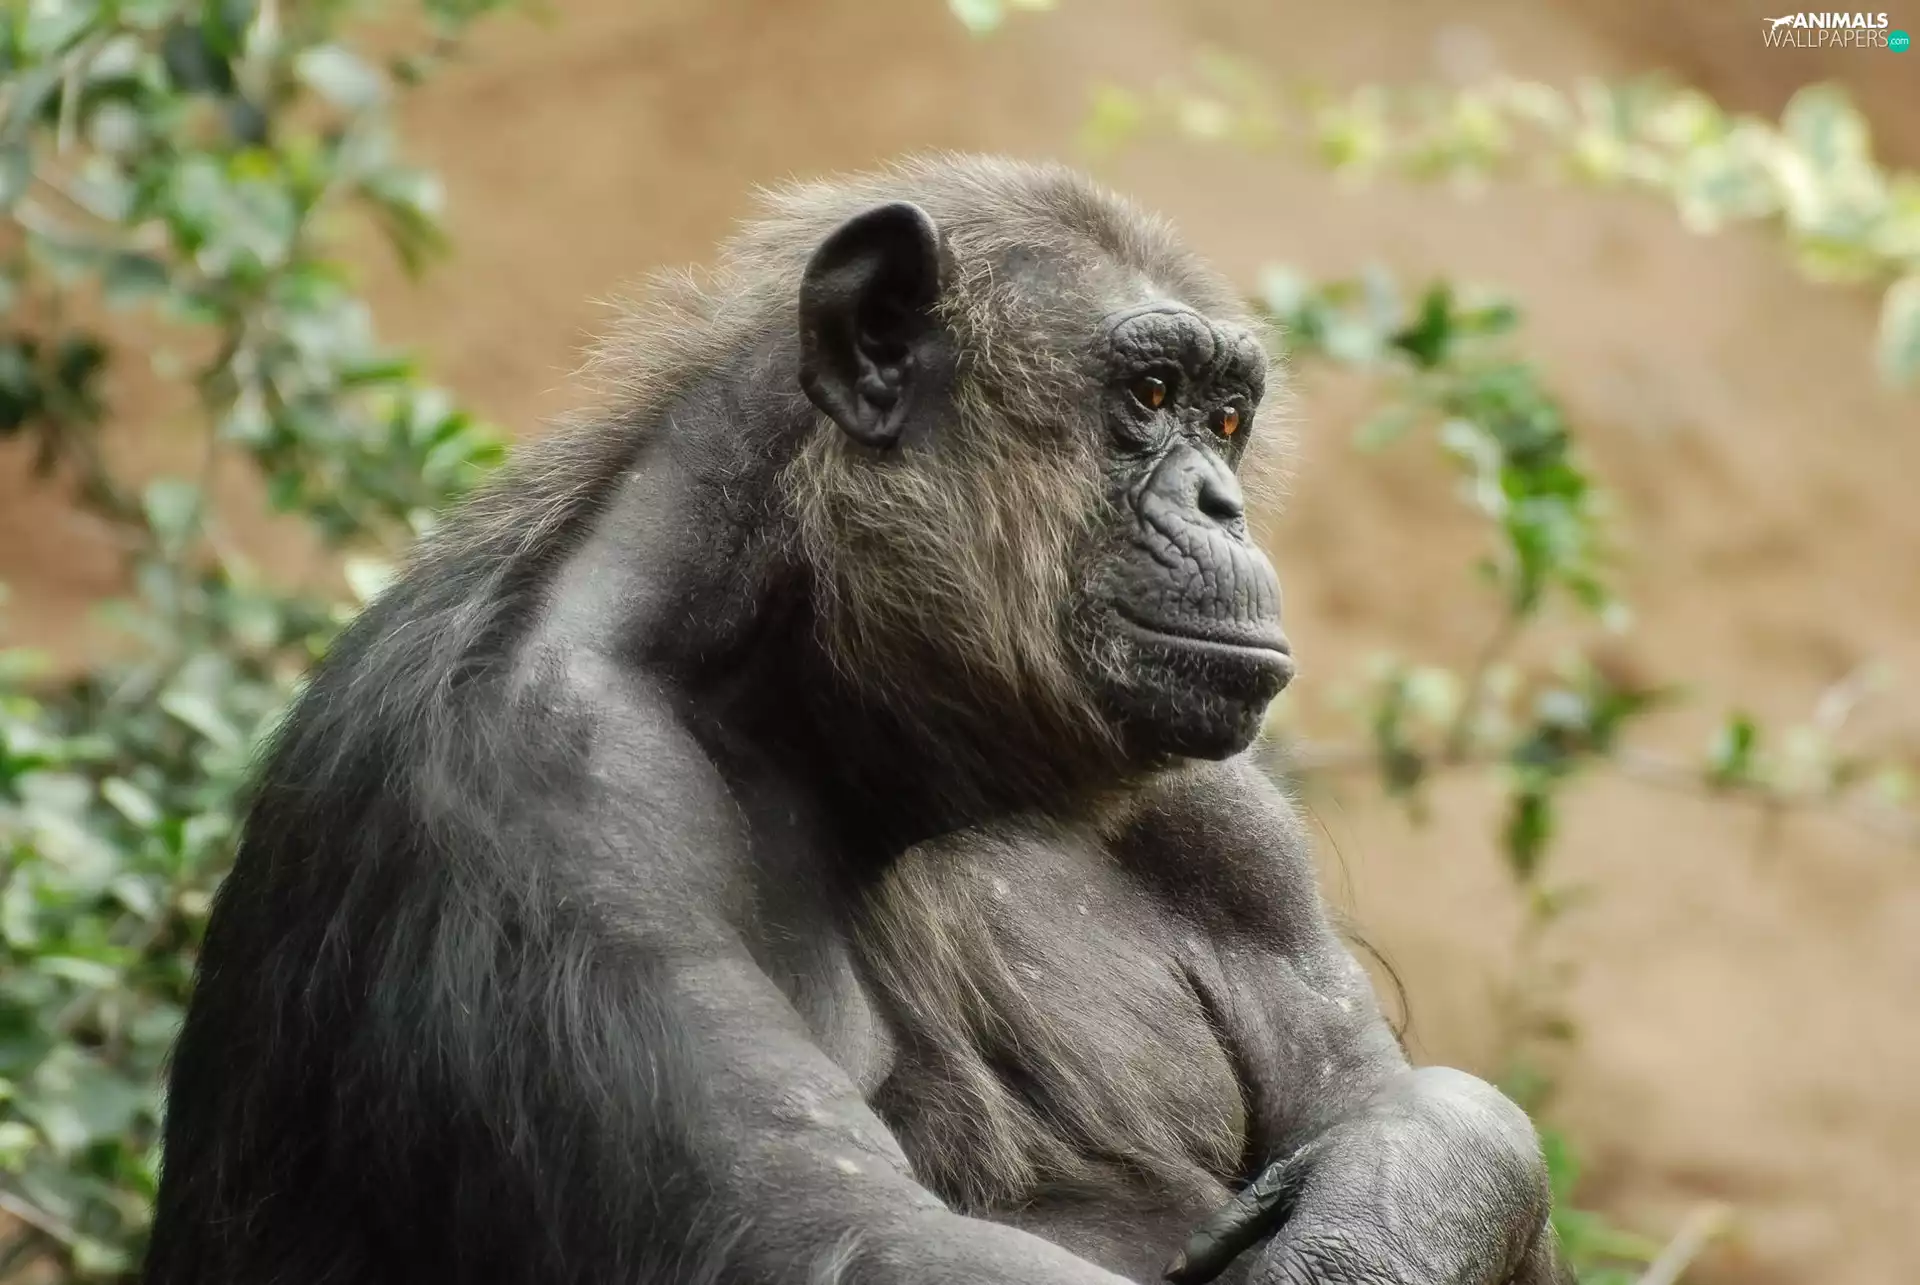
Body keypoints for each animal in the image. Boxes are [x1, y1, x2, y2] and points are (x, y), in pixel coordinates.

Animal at [143, 155, 1570, 1285]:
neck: (809, 689)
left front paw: (1394, 1202)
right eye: (1152, 396)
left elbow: (1388, 1104)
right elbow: (852, 1238)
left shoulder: (1240, 843)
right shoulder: (557, 789)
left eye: (1225, 418)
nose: (1221, 502)